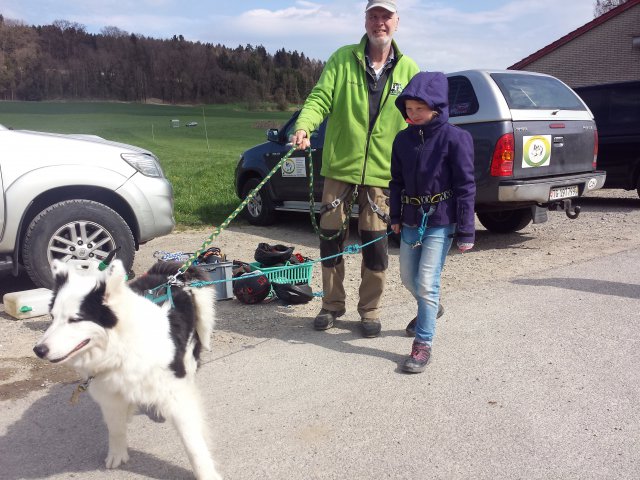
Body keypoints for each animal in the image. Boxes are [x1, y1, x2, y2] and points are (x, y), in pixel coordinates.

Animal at [33, 258, 222, 480]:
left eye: (75, 319)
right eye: (52, 317)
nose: (39, 350)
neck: (121, 350)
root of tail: (167, 274)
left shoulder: (176, 395)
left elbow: (192, 442)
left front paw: (206, 473)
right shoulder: (110, 396)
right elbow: (116, 429)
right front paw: (118, 454)